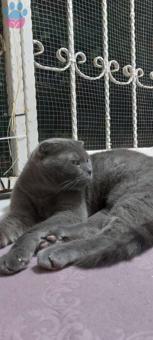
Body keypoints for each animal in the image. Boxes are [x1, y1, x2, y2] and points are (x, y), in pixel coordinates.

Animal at [0, 137, 153, 274]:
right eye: (75, 163)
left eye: (87, 160)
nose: (90, 171)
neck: (42, 190)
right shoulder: (20, 214)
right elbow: (6, 225)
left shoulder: (70, 212)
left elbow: (34, 229)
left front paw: (15, 257)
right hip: (108, 208)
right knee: (92, 227)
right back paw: (54, 238)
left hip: (132, 199)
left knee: (109, 236)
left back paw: (55, 251)